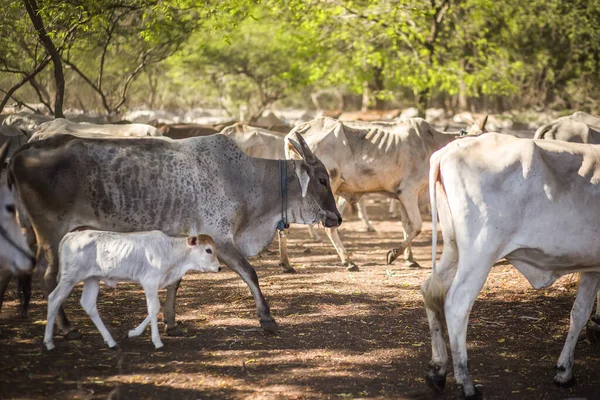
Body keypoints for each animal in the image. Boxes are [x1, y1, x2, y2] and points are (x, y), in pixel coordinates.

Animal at [9, 132, 340, 338]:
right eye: (322, 179)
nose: (336, 218)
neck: (245, 178)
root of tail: (23, 151)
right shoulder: (221, 239)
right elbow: (250, 273)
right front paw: (267, 319)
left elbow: (175, 283)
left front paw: (171, 324)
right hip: (53, 232)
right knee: (48, 277)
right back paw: (66, 328)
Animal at [43, 231, 220, 350]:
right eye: (208, 250)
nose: (219, 267)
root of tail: (71, 235)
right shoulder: (149, 282)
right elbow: (153, 309)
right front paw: (157, 341)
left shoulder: (154, 285)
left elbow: (156, 308)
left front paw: (132, 333)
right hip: (69, 278)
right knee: (54, 298)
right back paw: (48, 342)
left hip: (92, 278)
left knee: (88, 304)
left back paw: (111, 342)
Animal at [422, 134, 600, 396]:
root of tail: (449, 149)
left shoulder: (592, 268)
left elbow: (579, 313)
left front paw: (564, 371)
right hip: (481, 252)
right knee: (456, 304)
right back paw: (466, 383)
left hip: (453, 249)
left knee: (430, 290)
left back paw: (437, 370)